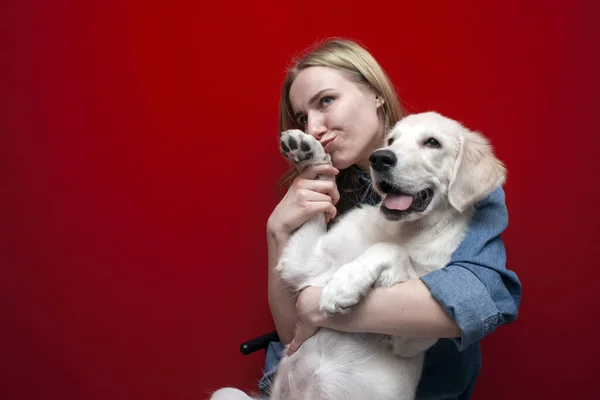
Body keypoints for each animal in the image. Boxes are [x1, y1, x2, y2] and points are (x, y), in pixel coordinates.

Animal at [211, 110, 506, 400]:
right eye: (391, 140)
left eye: (432, 142)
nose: (380, 158)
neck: (402, 229)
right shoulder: (306, 263)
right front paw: (310, 151)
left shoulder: (412, 337)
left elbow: (390, 250)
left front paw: (343, 285)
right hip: (226, 393)